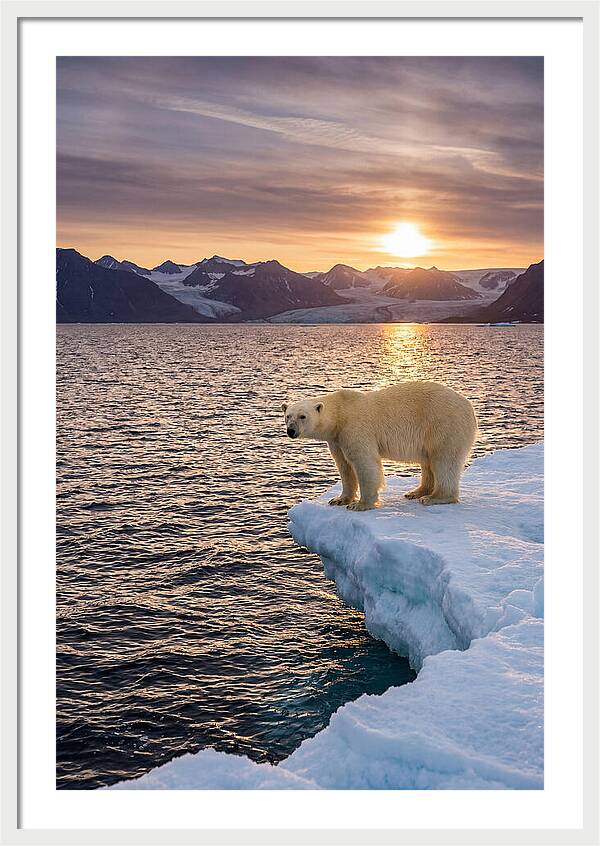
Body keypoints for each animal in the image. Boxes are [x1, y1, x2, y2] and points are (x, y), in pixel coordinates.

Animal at [282, 381, 477, 511]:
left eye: (302, 416)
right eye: (288, 415)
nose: (291, 431)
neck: (340, 413)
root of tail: (470, 407)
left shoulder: (355, 428)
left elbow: (364, 463)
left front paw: (360, 504)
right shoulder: (336, 439)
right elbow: (344, 466)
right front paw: (339, 499)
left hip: (443, 424)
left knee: (444, 460)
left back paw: (434, 497)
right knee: (428, 462)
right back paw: (416, 492)